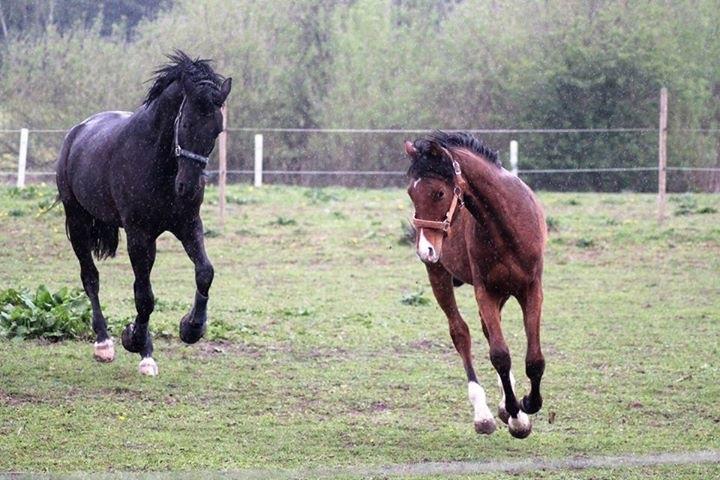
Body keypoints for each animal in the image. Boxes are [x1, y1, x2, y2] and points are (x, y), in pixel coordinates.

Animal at [59, 51, 233, 376]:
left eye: (217, 130)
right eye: (185, 124)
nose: (187, 187)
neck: (159, 162)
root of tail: (78, 131)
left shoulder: (188, 225)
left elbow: (205, 272)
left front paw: (191, 328)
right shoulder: (140, 235)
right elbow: (145, 296)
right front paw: (134, 339)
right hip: (76, 221)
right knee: (91, 277)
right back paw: (104, 343)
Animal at [404, 131, 544, 438]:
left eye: (439, 192)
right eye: (411, 193)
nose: (425, 250)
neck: (505, 226)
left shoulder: (531, 289)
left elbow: (533, 359)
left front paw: (527, 403)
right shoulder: (485, 291)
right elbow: (500, 355)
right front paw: (516, 416)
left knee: (487, 331)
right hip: (439, 276)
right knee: (461, 333)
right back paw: (485, 415)